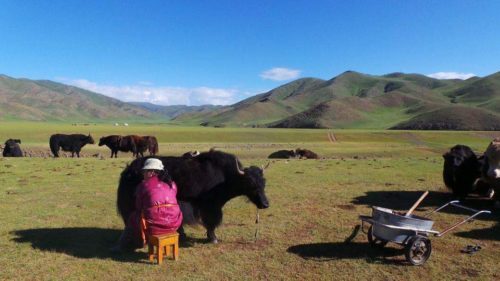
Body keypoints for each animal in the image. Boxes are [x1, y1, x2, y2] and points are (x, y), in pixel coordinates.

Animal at [116, 149, 270, 243]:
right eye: (250, 183)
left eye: (264, 182)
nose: (265, 204)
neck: (226, 177)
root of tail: (128, 170)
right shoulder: (210, 205)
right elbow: (211, 222)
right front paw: (213, 238)